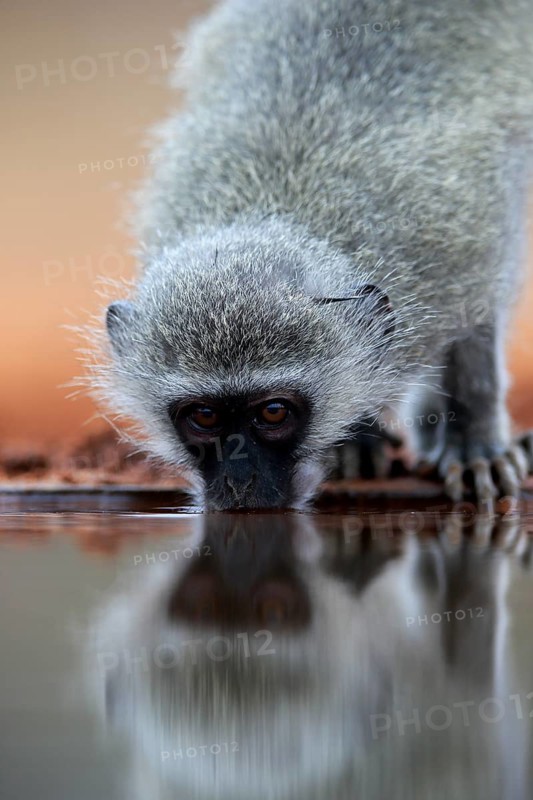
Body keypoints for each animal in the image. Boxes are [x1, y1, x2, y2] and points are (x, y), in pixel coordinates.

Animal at [88, 0, 533, 510]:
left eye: (274, 412)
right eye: (203, 416)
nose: (240, 484)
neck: (279, 208)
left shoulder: (460, 239)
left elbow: (476, 328)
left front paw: (474, 441)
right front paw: (358, 438)